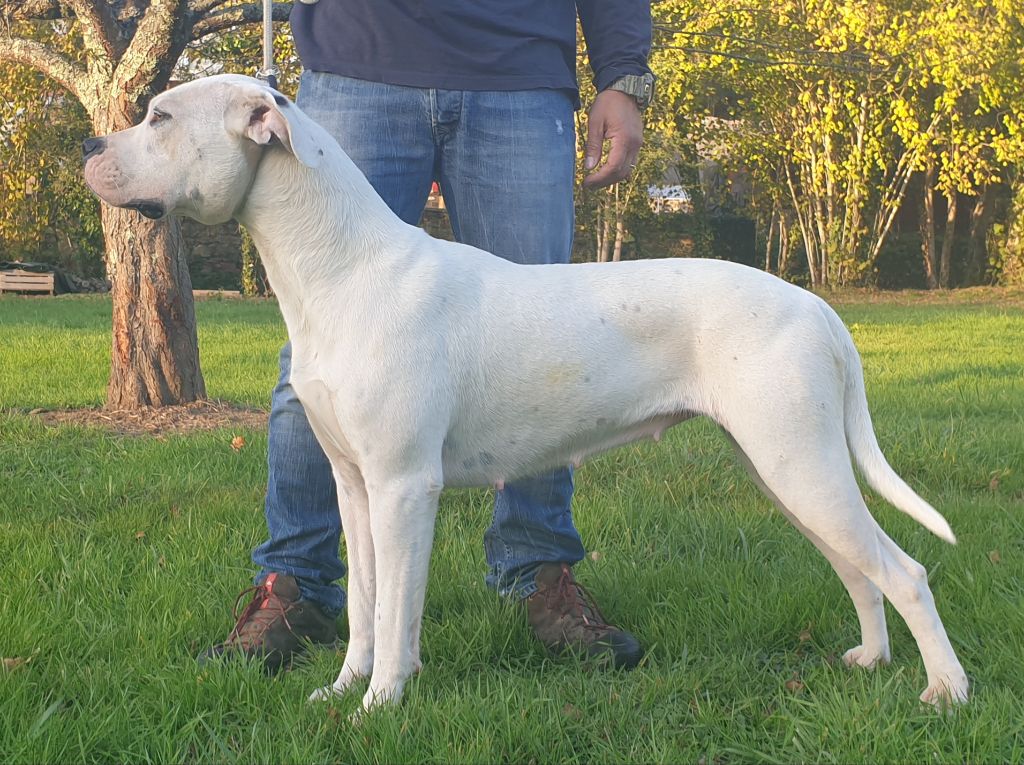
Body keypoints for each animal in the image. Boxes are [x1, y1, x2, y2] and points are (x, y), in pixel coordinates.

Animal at [83, 76, 970, 712]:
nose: (89, 141)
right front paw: (342, 690)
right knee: (860, 569)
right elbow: (366, 604)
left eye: (159, 116)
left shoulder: (406, 488)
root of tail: (817, 305)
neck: (343, 269)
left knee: (906, 570)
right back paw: (871, 658)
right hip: (789, 469)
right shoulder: (355, 487)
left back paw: (946, 691)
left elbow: (398, 607)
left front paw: (382, 704)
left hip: (799, 465)